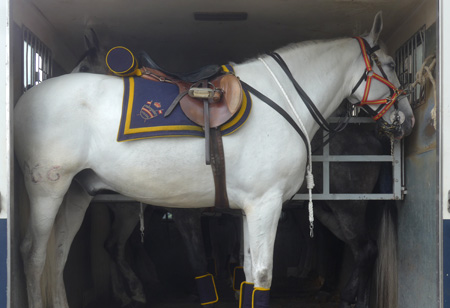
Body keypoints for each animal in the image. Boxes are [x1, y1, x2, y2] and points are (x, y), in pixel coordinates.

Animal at [14, 12, 414, 308]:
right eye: (390, 64)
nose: (406, 118)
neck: (281, 99)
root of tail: (25, 100)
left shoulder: (253, 208)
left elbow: (251, 275)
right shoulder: (264, 204)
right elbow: (262, 276)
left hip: (76, 194)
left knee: (58, 255)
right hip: (49, 191)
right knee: (34, 255)